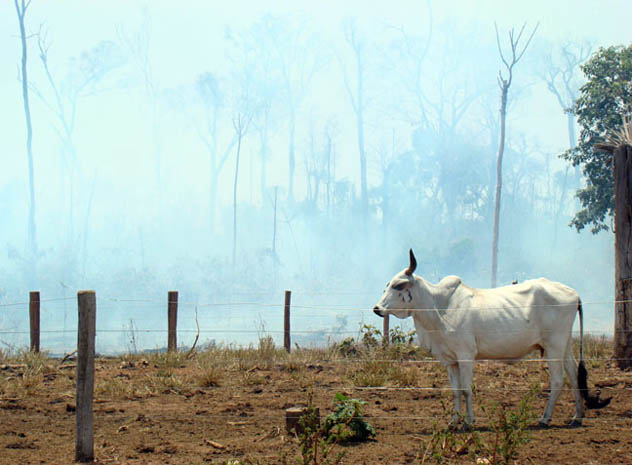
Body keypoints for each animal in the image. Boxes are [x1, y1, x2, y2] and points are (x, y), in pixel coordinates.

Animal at [372, 248, 608, 426]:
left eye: (399, 285)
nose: (376, 309)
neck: (439, 307)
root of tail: (574, 293)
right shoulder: (450, 360)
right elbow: (455, 391)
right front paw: (454, 421)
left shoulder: (466, 356)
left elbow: (466, 390)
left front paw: (469, 422)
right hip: (564, 345)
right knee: (573, 374)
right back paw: (577, 416)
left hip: (554, 346)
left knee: (558, 380)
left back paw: (545, 418)